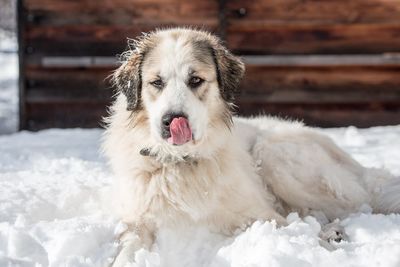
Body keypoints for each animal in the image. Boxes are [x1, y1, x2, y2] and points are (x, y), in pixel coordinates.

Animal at [103, 27, 400, 266]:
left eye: (195, 80)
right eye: (157, 82)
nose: (171, 121)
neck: (181, 163)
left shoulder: (261, 214)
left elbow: (294, 230)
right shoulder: (136, 221)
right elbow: (127, 250)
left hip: (273, 154)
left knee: (356, 205)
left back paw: (335, 231)